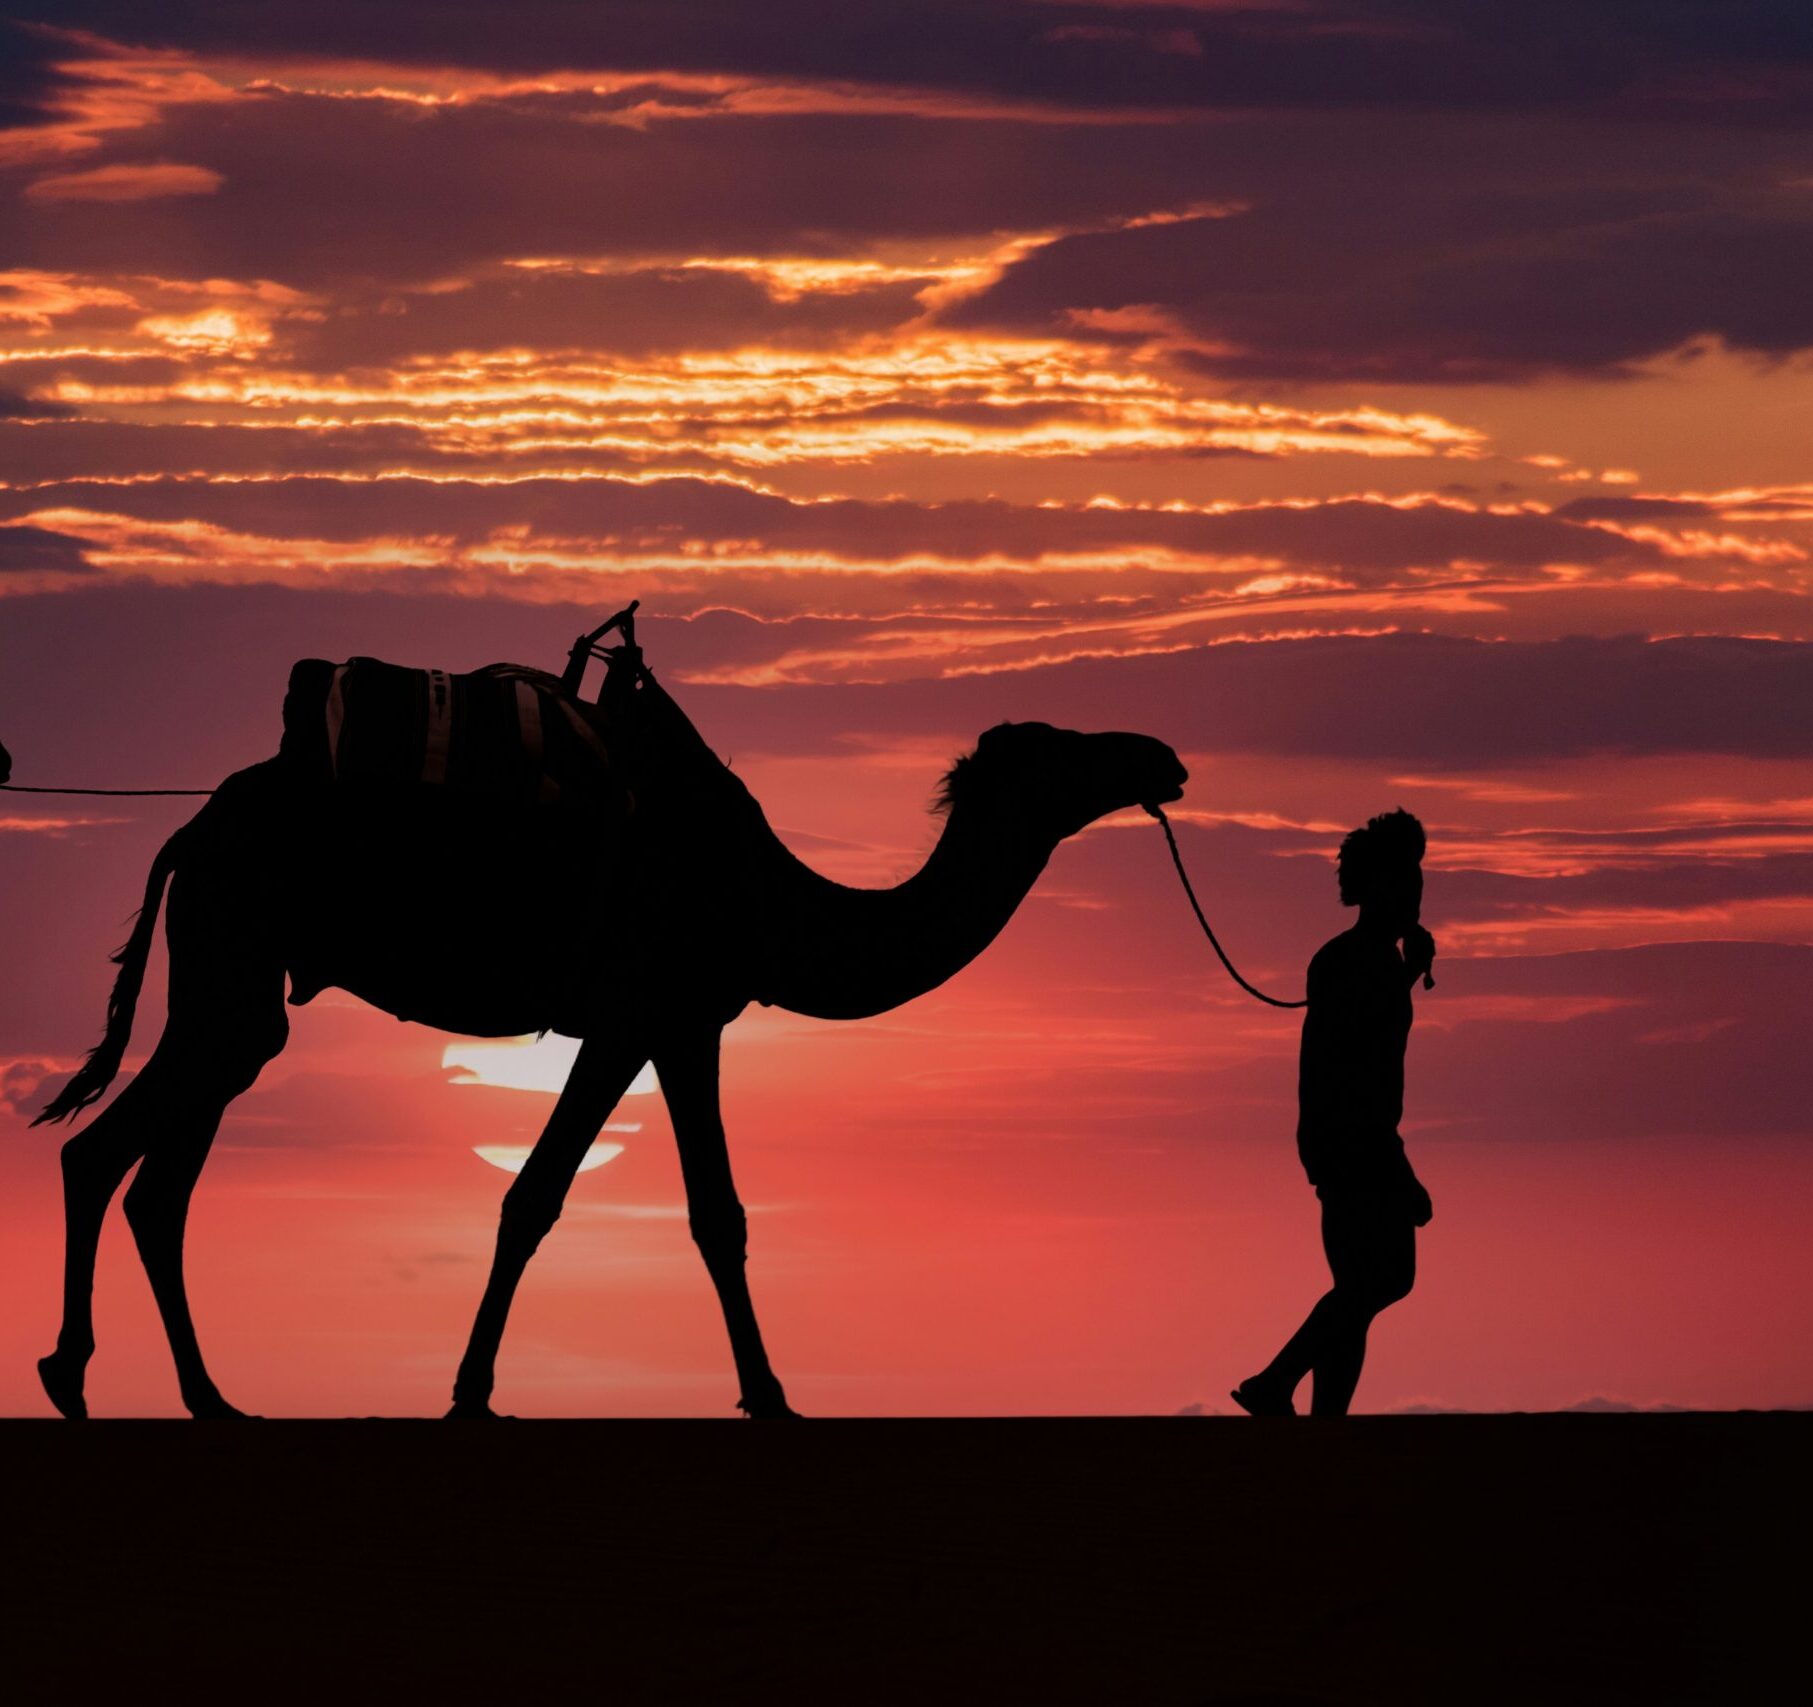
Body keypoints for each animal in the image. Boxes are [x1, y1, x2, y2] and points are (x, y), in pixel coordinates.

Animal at [34, 663, 1185, 1420]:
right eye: (1065, 749)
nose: (1162, 755)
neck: (770, 902)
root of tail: (194, 826)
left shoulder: (680, 1024)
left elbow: (713, 1213)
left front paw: (763, 1393)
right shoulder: (642, 1011)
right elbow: (543, 1197)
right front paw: (473, 1396)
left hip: (237, 979)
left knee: (153, 1172)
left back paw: (195, 1396)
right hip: (234, 947)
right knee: (117, 1153)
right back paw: (88, 1379)